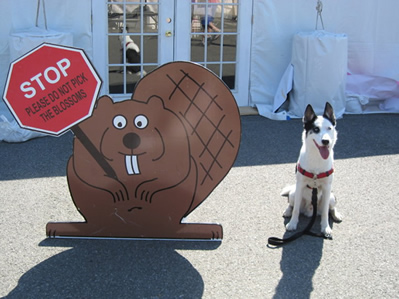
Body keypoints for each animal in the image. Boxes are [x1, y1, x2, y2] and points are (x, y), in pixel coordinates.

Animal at [282, 102, 344, 238]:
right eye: (316, 129)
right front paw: (292, 224)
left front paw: (325, 227)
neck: (317, 158)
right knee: (292, 205)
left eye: (329, 128)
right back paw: (287, 211)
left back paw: (336, 215)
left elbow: (326, 212)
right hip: (294, 193)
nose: (326, 141)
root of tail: (310, 210)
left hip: (331, 197)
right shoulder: (300, 185)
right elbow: (295, 210)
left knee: (331, 208)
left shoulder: (327, 188)